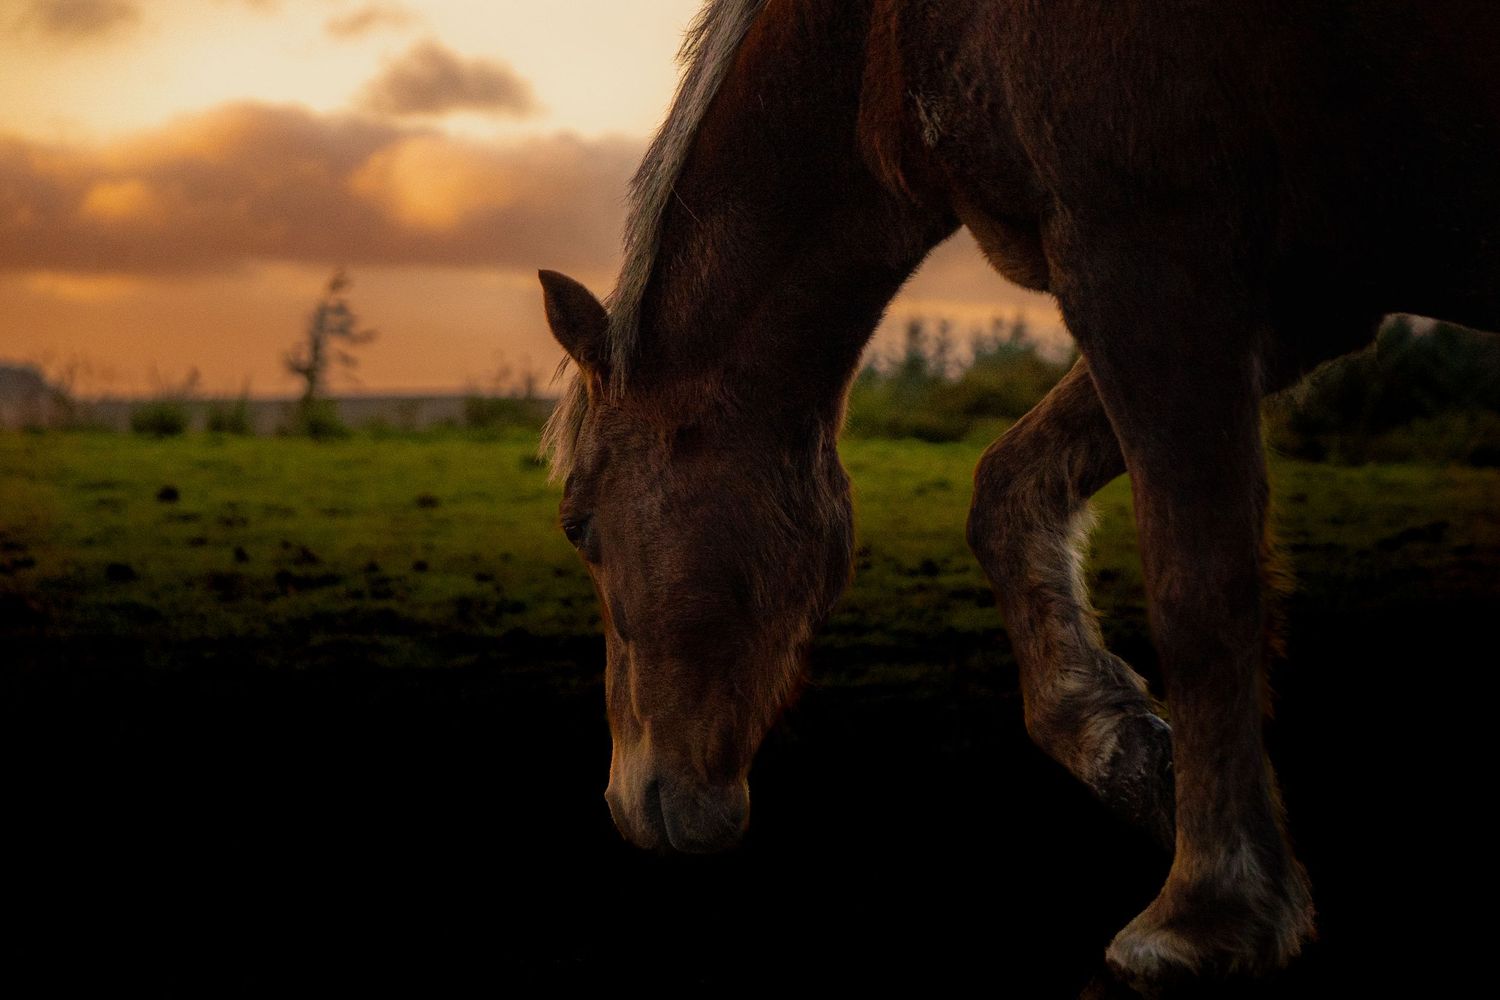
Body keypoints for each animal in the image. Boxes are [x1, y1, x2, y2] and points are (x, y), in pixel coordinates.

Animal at [537, 0, 1500, 987]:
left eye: (579, 524)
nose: (633, 801)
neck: (883, 41)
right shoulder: (1299, 304)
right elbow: (1008, 492)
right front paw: (1128, 752)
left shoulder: (1145, 257)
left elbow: (1199, 588)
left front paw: (1208, 910)